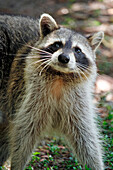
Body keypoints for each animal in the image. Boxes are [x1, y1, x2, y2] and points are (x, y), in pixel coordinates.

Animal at [0, 13, 104, 170]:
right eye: (57, 44)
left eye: (77, 50)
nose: (64, 58)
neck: (59, 77)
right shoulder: (29, 95)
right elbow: (24, 133)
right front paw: (17, 165)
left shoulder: (77, 101)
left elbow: (86, 138)